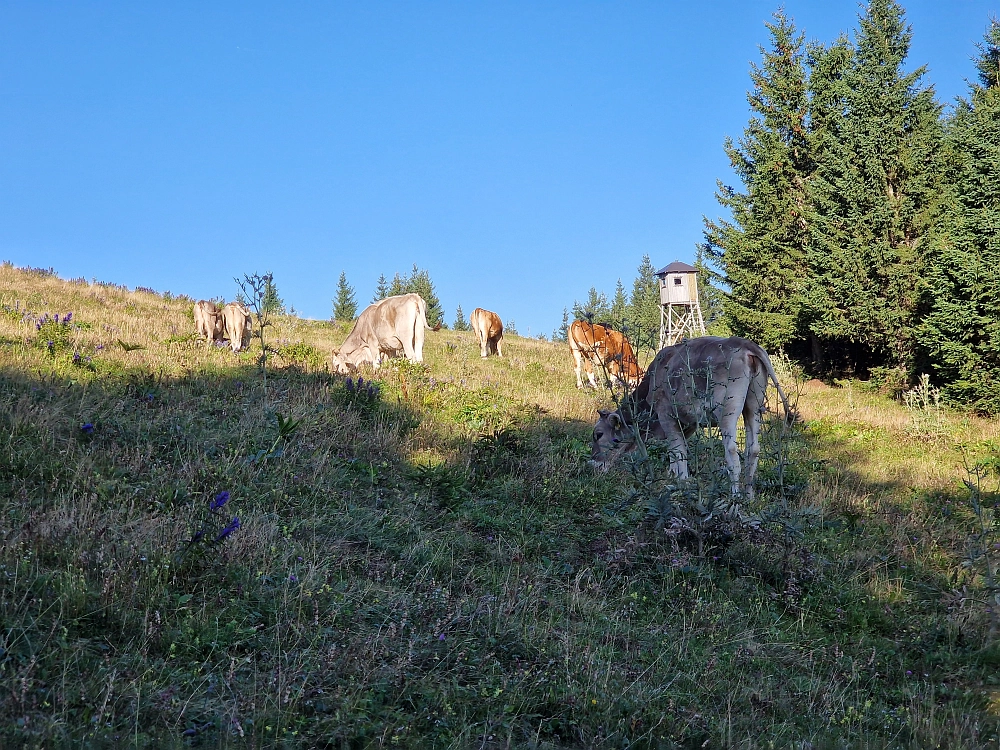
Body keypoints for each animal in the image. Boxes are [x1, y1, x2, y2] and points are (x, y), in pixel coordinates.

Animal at [584, 338, 788, 502]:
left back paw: (735, 498)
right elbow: (675, 451)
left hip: (727, 409)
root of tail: (743, 342)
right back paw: (749, 496)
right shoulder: (687, 423)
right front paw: (674, 476)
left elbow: (678, 451)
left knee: (731, 450)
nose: (592, 464)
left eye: (598, 434)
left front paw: (681, 483)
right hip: (753, 405)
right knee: (753, 449)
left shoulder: (666, 414)